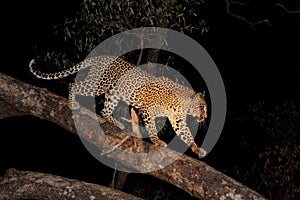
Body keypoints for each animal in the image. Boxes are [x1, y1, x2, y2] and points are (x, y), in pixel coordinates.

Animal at [29, 55, 207, 157]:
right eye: (202, 107)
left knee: (105, 110)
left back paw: (119, 123)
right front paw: (158, 141)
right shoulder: (148, 110)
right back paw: (73, 103)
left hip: (114, 93)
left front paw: (197, 149)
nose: (205, 117)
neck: (181, 104)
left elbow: (186, 134)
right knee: (73, 84)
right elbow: (151, 128)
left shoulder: (178, 121)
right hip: (99, 84)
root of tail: (100, 56)